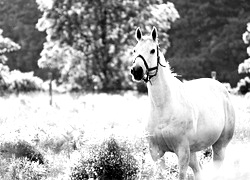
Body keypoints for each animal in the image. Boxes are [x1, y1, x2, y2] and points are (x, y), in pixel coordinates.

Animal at [130, 27, 235, 180]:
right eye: (134, 50)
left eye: (152, 50)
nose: (136, 71)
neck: (163, 107)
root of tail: (222, 88)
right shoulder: (156, 152)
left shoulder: (182, 151)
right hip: (193, 152)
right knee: (198, 170)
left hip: (219, 147)